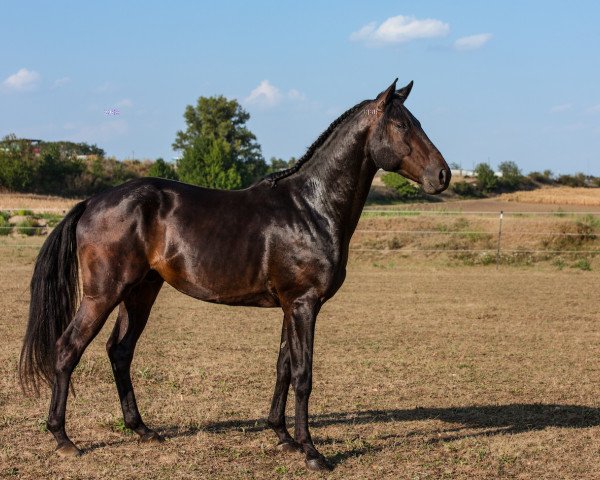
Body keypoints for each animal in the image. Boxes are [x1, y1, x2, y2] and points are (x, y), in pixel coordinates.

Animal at [19, 79, 450, 472]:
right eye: (402, 126)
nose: (443, 175)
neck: (311, 208)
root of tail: (93, 201)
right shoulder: (304, 304)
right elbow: (304, 375)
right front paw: (312, 452)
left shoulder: (290, 306)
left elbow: (283, 368)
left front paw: (283, 437)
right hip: (103, 293)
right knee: (68, 348)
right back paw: (63, 438)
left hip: (140, 291)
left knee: (120, 351)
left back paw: (141, 429)